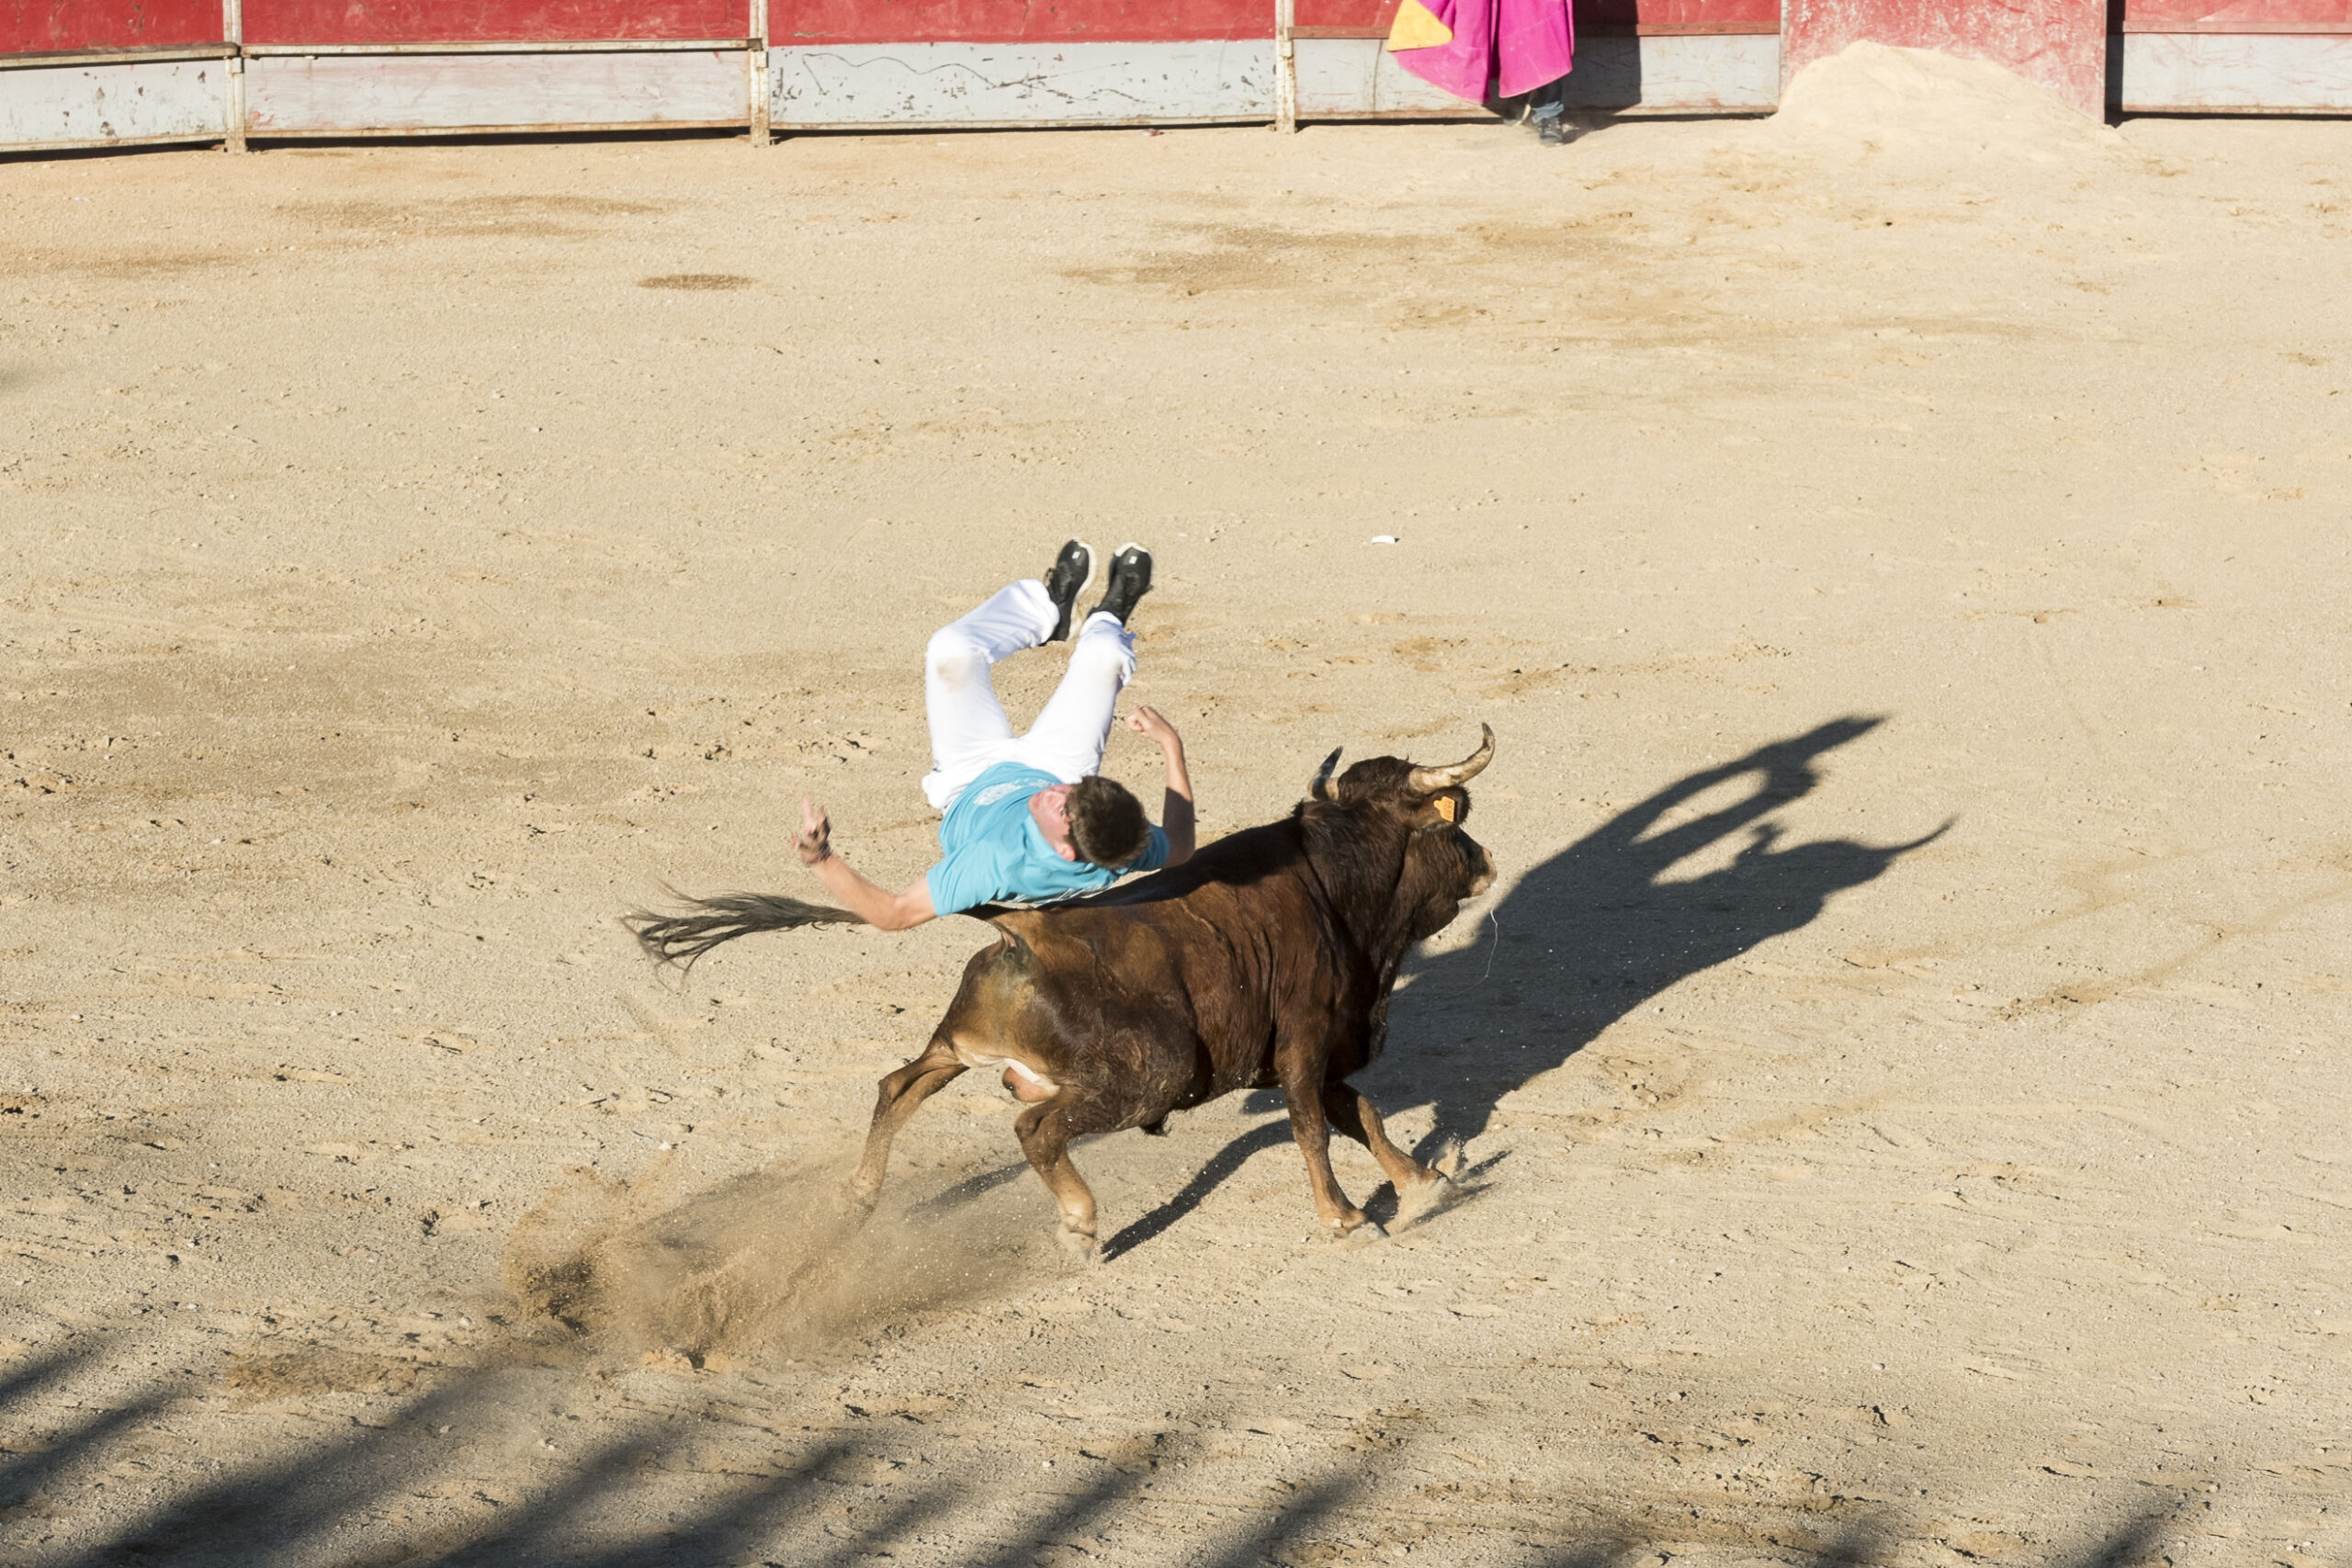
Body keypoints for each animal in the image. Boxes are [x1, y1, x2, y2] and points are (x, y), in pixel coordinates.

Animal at [855, 728, 1496, 1259]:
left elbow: (1360, 1112)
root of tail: (1025, 933)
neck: (1336, 879)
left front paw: (1422, 1184)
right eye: (1454, 818)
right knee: (1034, 1130)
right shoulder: (1304, 1039)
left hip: (956, 1045)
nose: (1485, 859)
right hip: (1152, 1074)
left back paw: (861, 1197)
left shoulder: (1323, 1048)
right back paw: (1080, 1225)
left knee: (899, 1088)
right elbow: (1312, 1124)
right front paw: (1345, 1218)